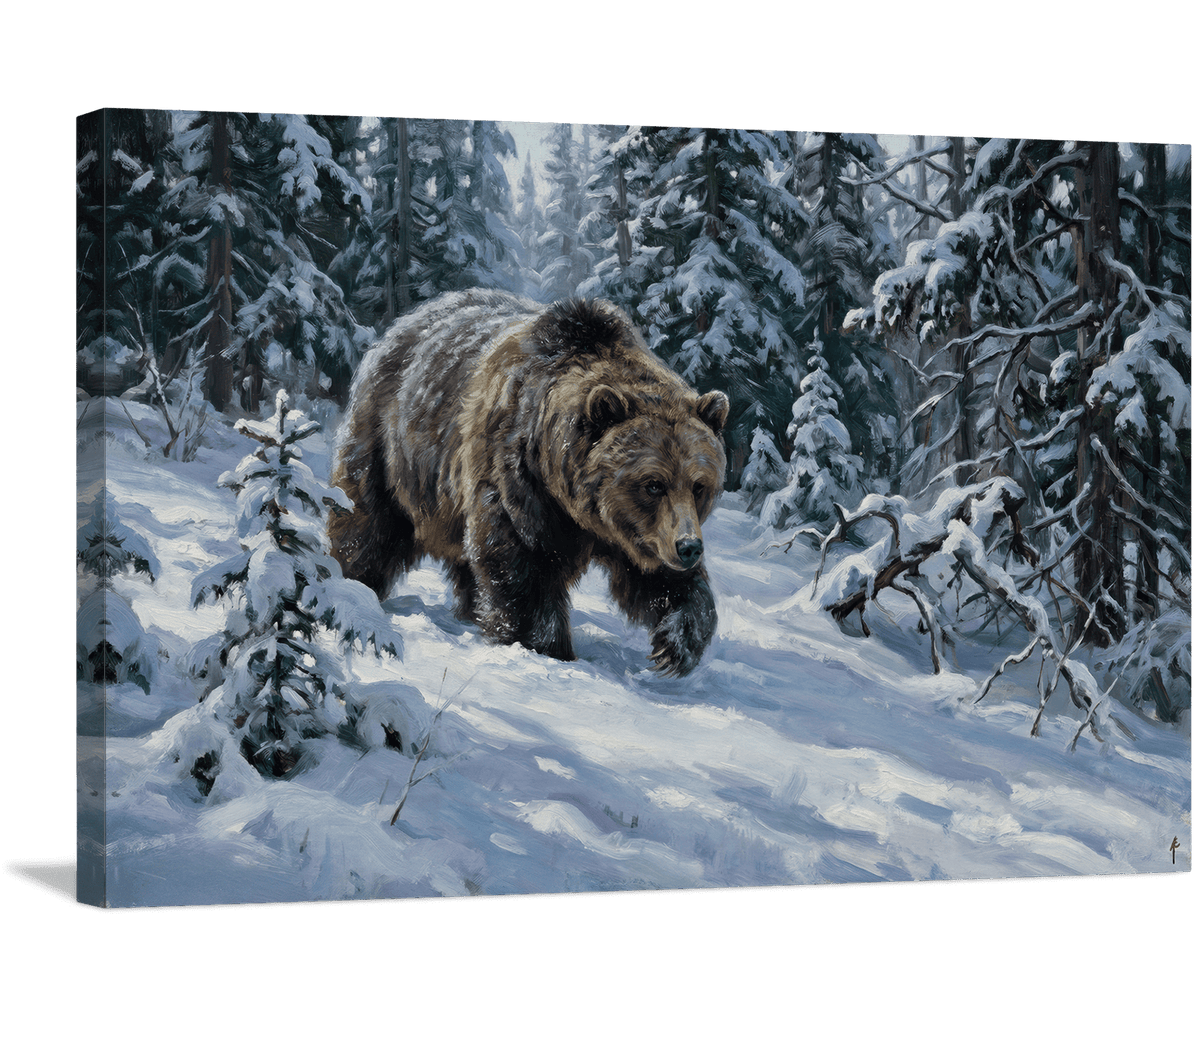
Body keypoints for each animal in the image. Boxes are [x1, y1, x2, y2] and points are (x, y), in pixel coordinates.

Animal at [328, 289, 729, 676]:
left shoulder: (635, 532)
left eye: (699, 485)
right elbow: (521, 563)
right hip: (393, 448)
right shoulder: (519, 479)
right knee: (367, 521)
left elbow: (657, 579)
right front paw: (547, 646)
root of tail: (404, 324)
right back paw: (353, 585)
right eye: (653, 484)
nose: (689, 547)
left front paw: (675, 644)